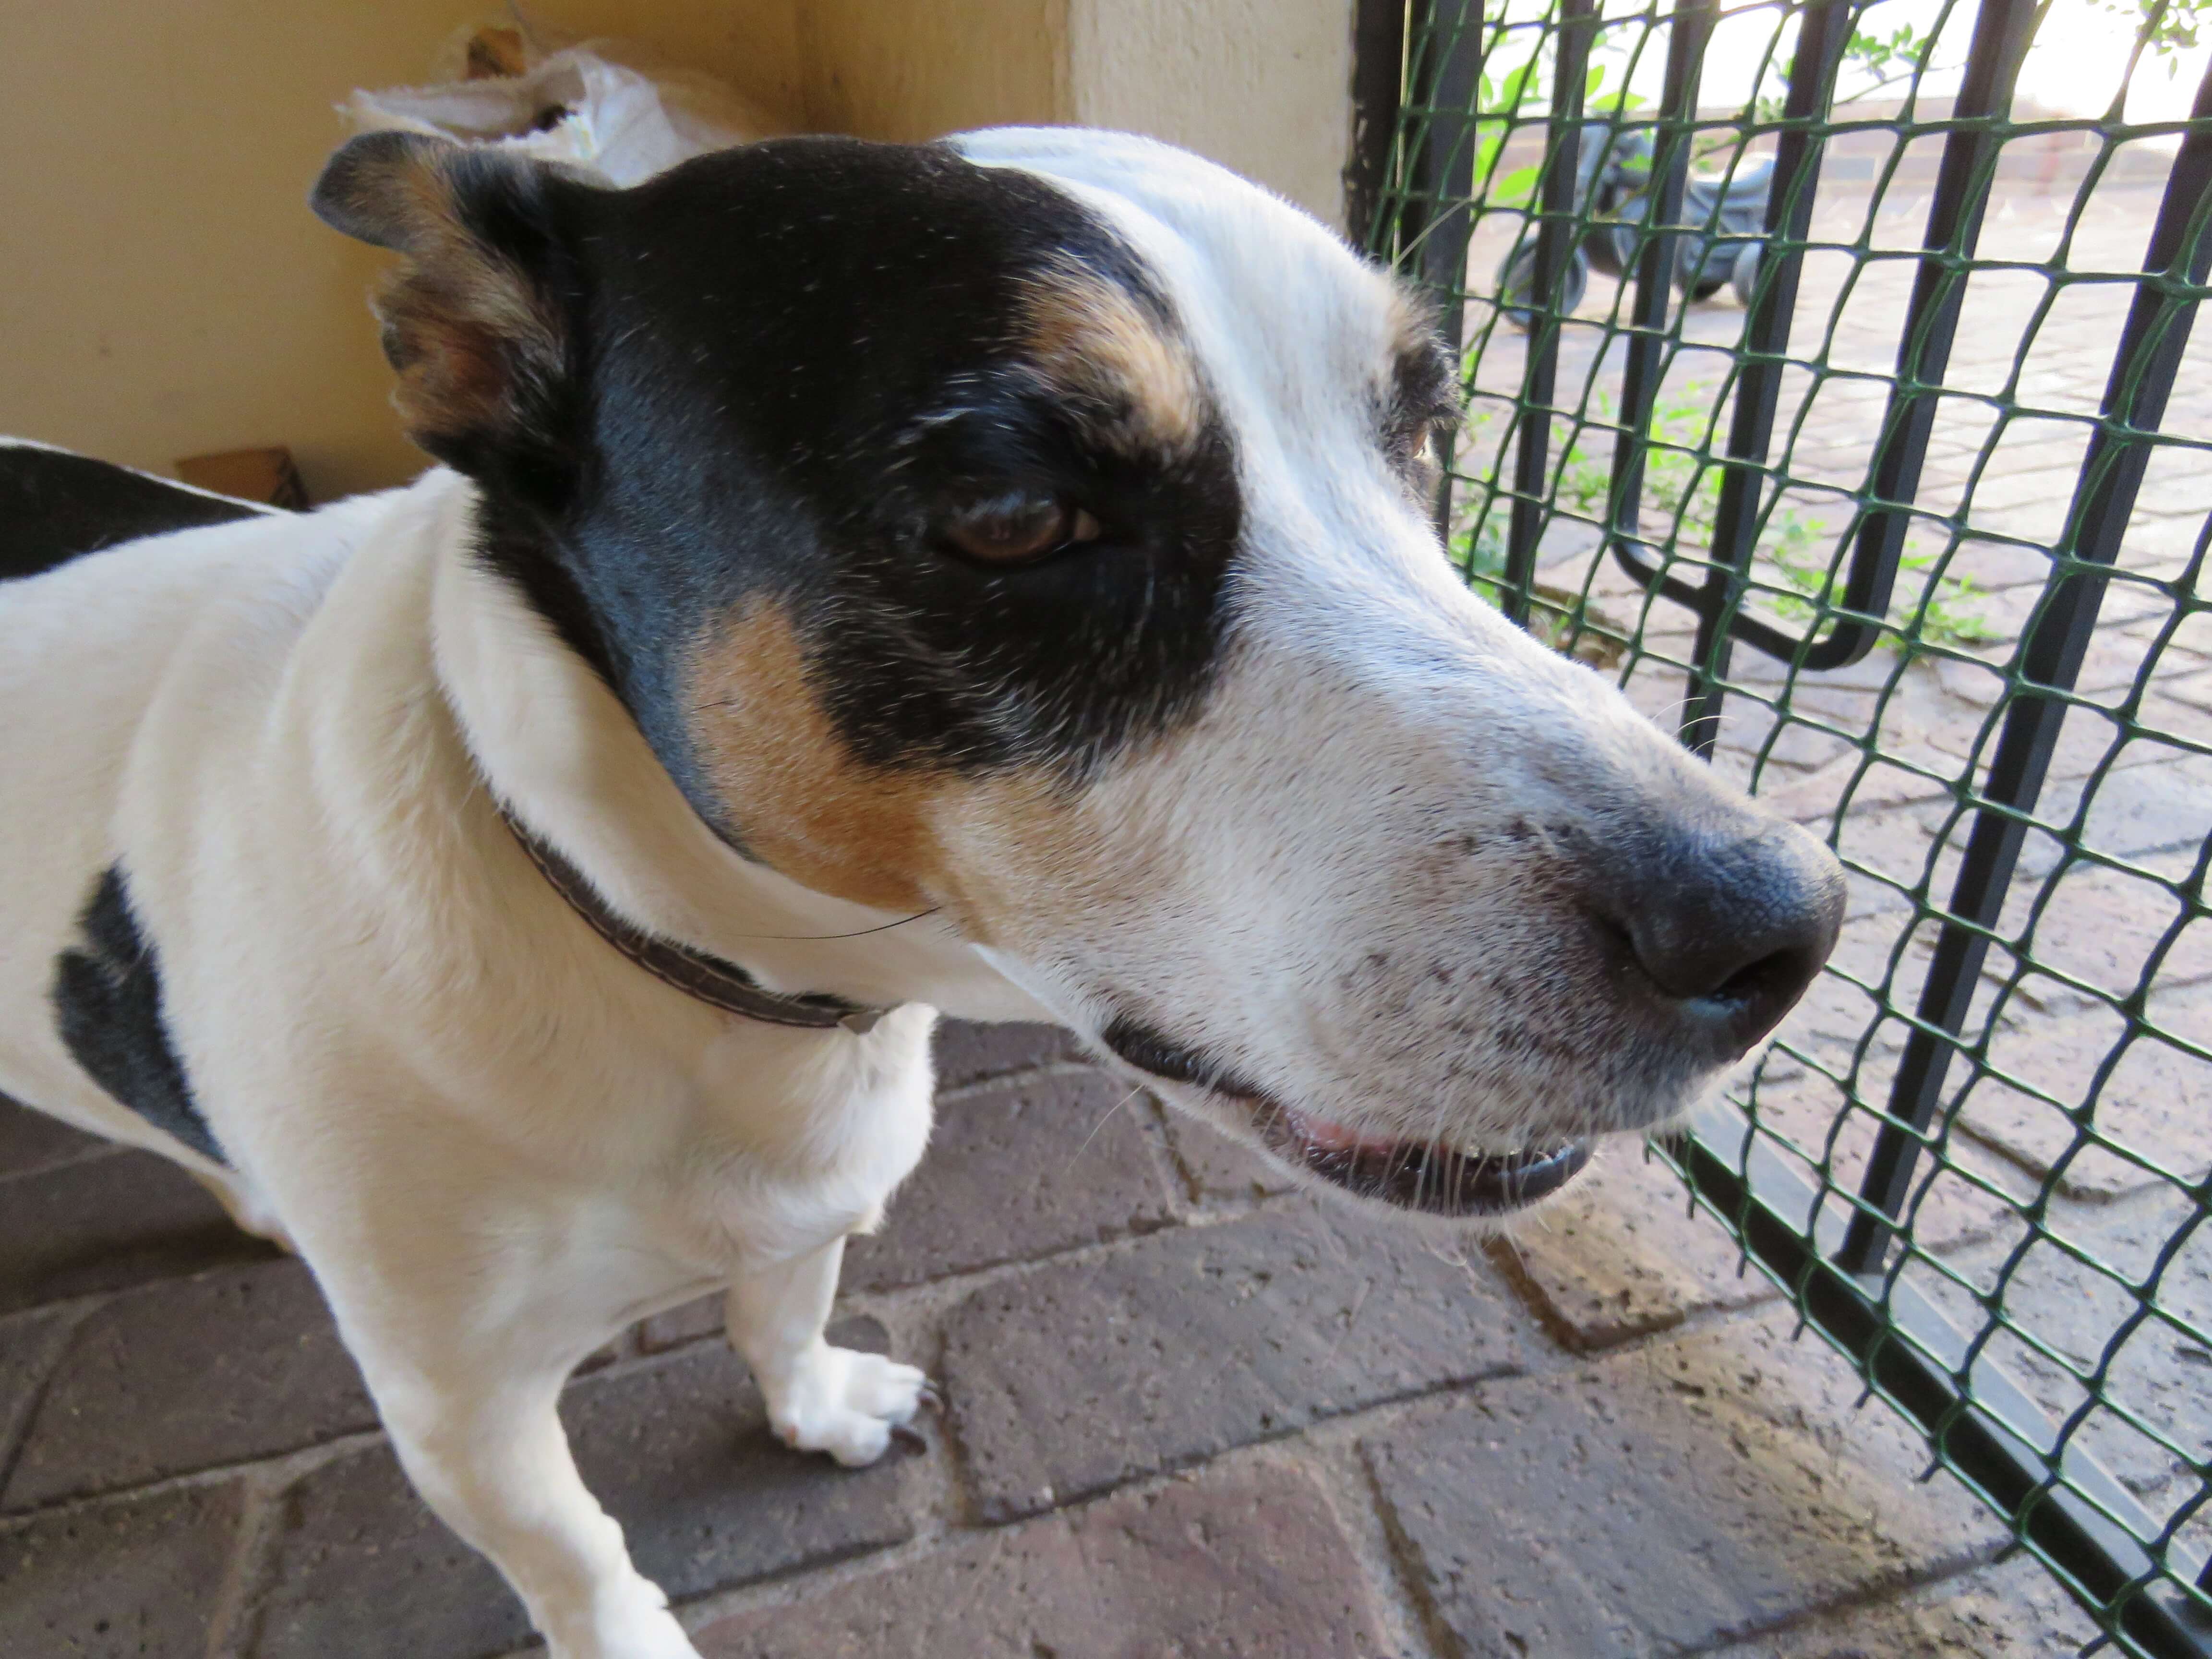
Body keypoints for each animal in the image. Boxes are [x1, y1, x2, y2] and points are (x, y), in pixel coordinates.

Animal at [0, 127, 1844, 1658]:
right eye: (1013, 512)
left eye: (1424, 437)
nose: (1780, 930)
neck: (678, 972)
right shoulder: (462, 1412)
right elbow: (581, 1556)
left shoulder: (808, 1193)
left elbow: (785, 1301)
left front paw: (812, 1404)